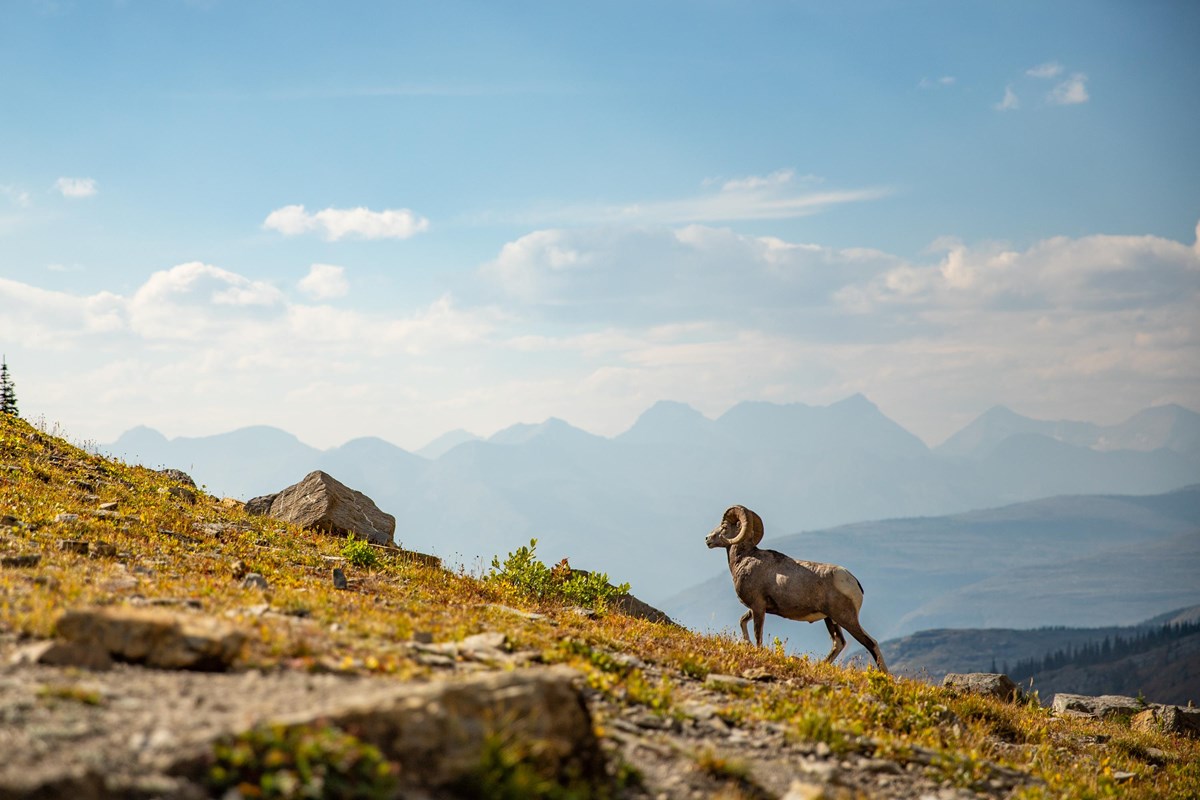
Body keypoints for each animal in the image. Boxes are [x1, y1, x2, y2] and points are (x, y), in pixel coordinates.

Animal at [705, 504, 888, 673]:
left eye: (724, 527)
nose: (707, 539)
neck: (745, 559)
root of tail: (852, 581)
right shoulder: (756, 608)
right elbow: (742, 621)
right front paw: (746, 643)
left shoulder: (758, 607)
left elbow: (758, 635)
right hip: (831, 619)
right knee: (839, 643)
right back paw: (819, 666)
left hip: (846, 618)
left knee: (870, 643)